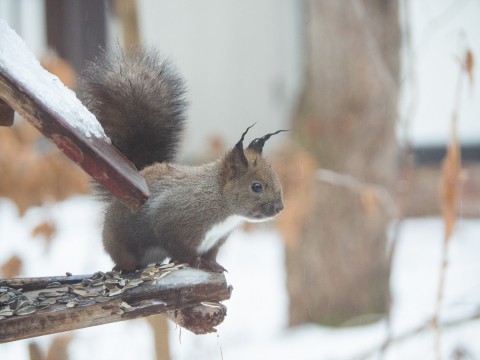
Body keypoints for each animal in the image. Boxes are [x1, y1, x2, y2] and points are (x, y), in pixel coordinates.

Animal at [78, 47, 284, 272]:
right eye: (256, 187)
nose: (279, 208)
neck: (219, 199)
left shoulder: (217, 239)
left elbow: (211, 254)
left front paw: (213, 265)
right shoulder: (174, 222)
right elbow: (178, 247)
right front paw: (195, 262)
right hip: (121, 244)